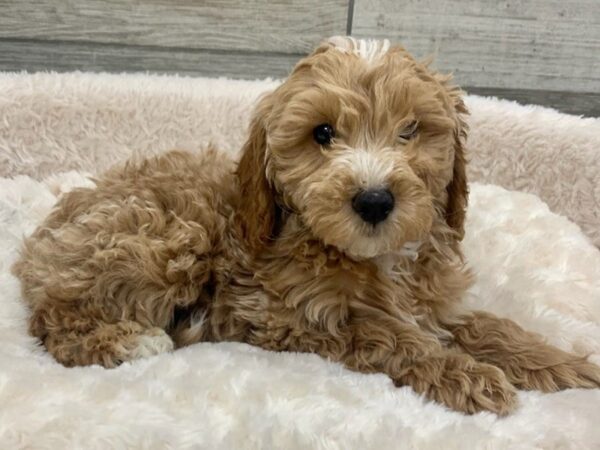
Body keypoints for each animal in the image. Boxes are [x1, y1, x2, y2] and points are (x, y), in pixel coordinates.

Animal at [14, 37, 600, 414]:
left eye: (411, 130)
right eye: (322, 133)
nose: (374, 199)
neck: (375, 258)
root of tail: (39, 240)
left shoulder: (433, 304)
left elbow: (486, 327)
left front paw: (559, 363)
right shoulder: (292, 317)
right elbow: (390, 336)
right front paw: (468, 374)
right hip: (165, 236)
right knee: (54, 323)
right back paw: (132, 342)